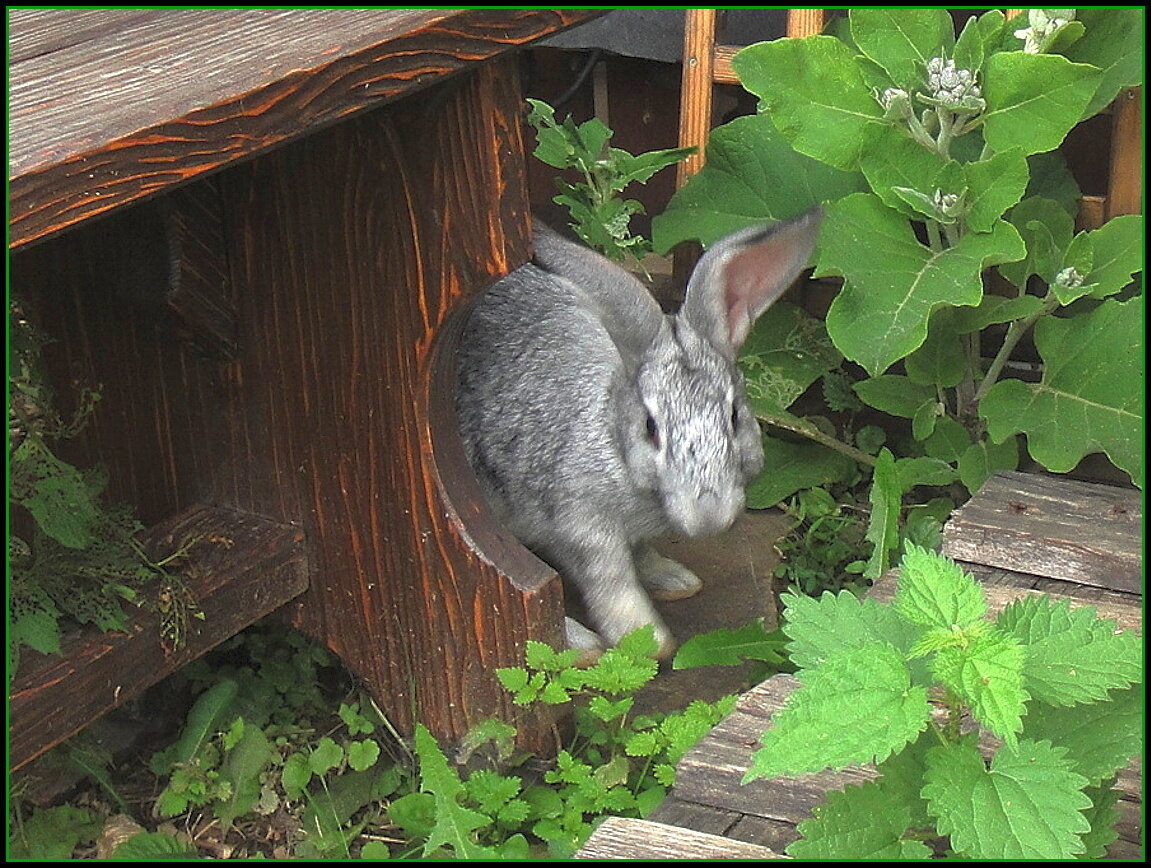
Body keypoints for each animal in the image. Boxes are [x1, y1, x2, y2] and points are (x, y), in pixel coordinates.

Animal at [454, 209, 822, 659]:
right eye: (651, 428)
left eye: (735, 417)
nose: (708, 517)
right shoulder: (583, 525)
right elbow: (611, 582)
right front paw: (650, 642)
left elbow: (642, 555)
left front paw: (676, 582)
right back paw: (581, 644)